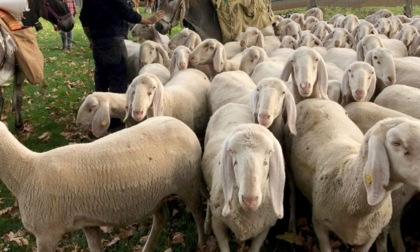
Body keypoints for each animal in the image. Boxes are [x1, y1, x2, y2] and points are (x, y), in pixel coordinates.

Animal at [0, 116, 205, 252]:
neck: (25, 171)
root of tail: (184, 126)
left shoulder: (46, 234)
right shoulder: (88, 223)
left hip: (189, 183)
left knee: (197, 212)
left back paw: (203, 243)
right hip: (156, 195)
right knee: (162, 216)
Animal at [202, 103, 288, 252]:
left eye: (266, 161)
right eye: (234, 161)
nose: (250, 201)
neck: (248, 215)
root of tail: (233, 104)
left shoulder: (264, 229)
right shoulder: (218, 224)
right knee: (208, 199)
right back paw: (206, 225)